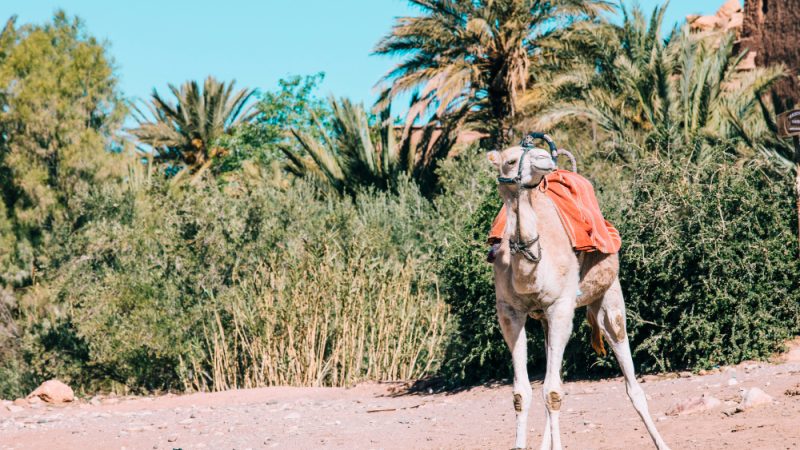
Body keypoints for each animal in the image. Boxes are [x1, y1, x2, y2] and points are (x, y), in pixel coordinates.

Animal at [488, 144, 668, 450]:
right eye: (510, 160)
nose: (544, 158)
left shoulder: (560, 306)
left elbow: (552, 393)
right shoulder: (509, 312)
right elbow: (522, 394)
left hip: (609, 295)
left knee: (630, 378)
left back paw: (661, 442)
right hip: (547, 319)